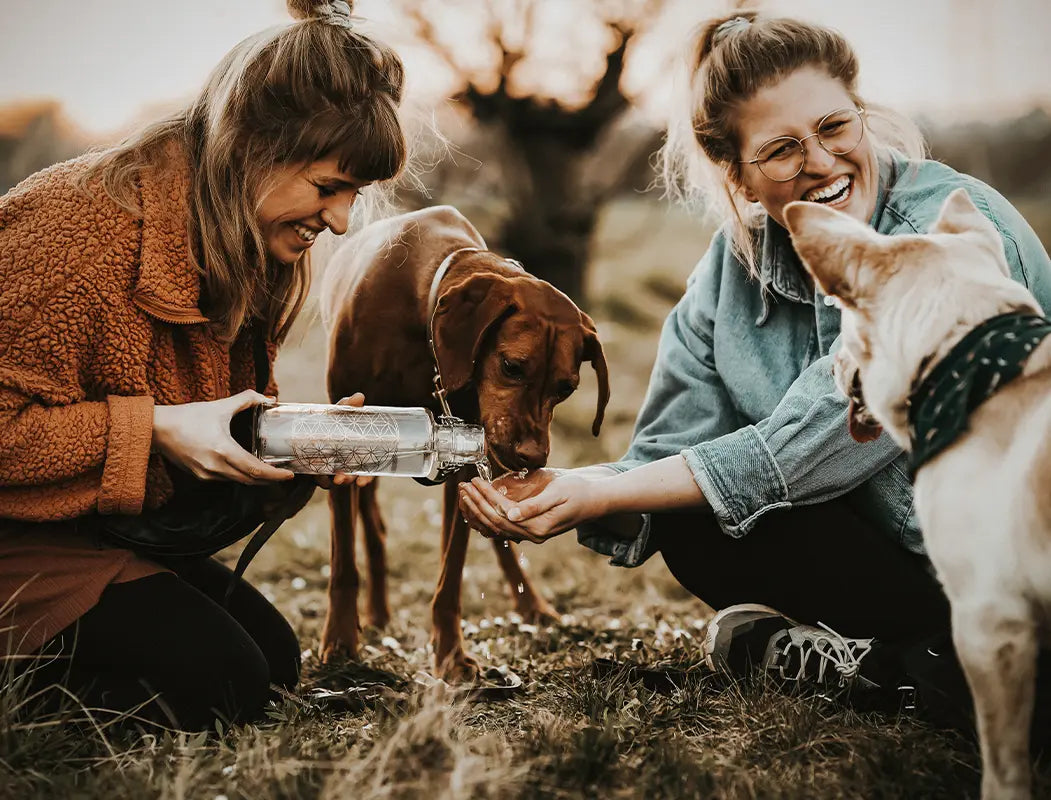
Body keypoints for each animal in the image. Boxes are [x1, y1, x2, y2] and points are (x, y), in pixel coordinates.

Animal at [317, 206, 609, 681]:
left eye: (566, 388)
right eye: (511, 366)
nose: (533, 457)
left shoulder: (465, 456)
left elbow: (451, 574)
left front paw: (450, 654)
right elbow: (344, 562)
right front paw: (341, 641)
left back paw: (532, 606)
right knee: (373, 528)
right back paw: (376, 613)